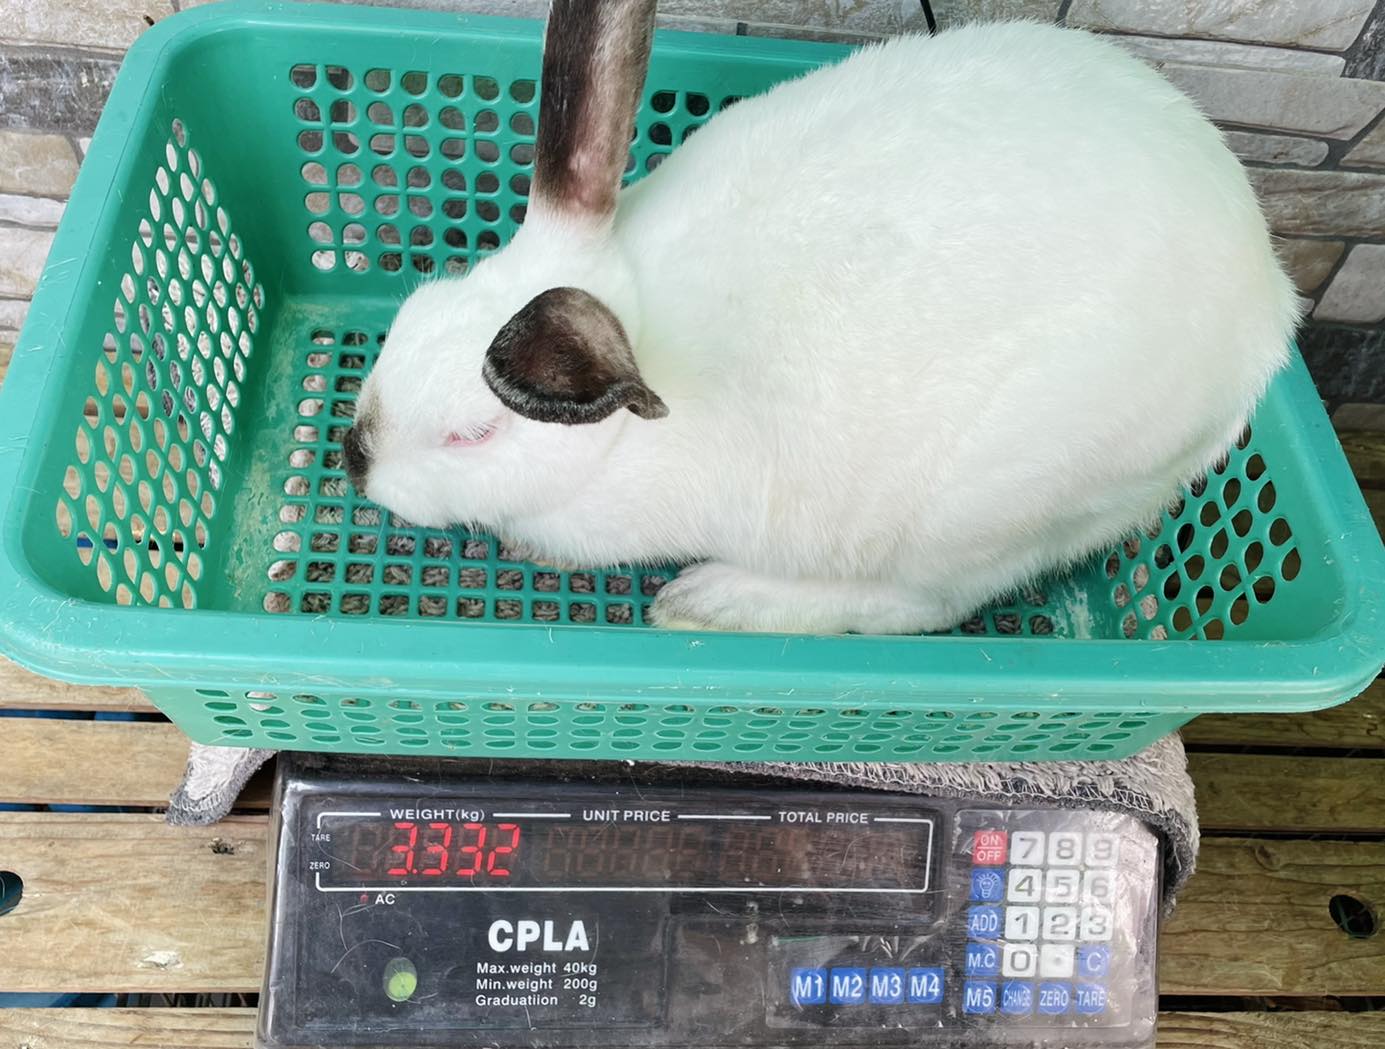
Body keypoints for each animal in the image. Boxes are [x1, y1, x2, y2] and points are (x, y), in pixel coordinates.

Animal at [342, 0, 1297, 636]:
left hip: (984, 508)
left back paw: (708, 600)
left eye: (471, 435)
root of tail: (1266, 304)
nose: (355, 459)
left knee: (919, 605)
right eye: (411, 312)